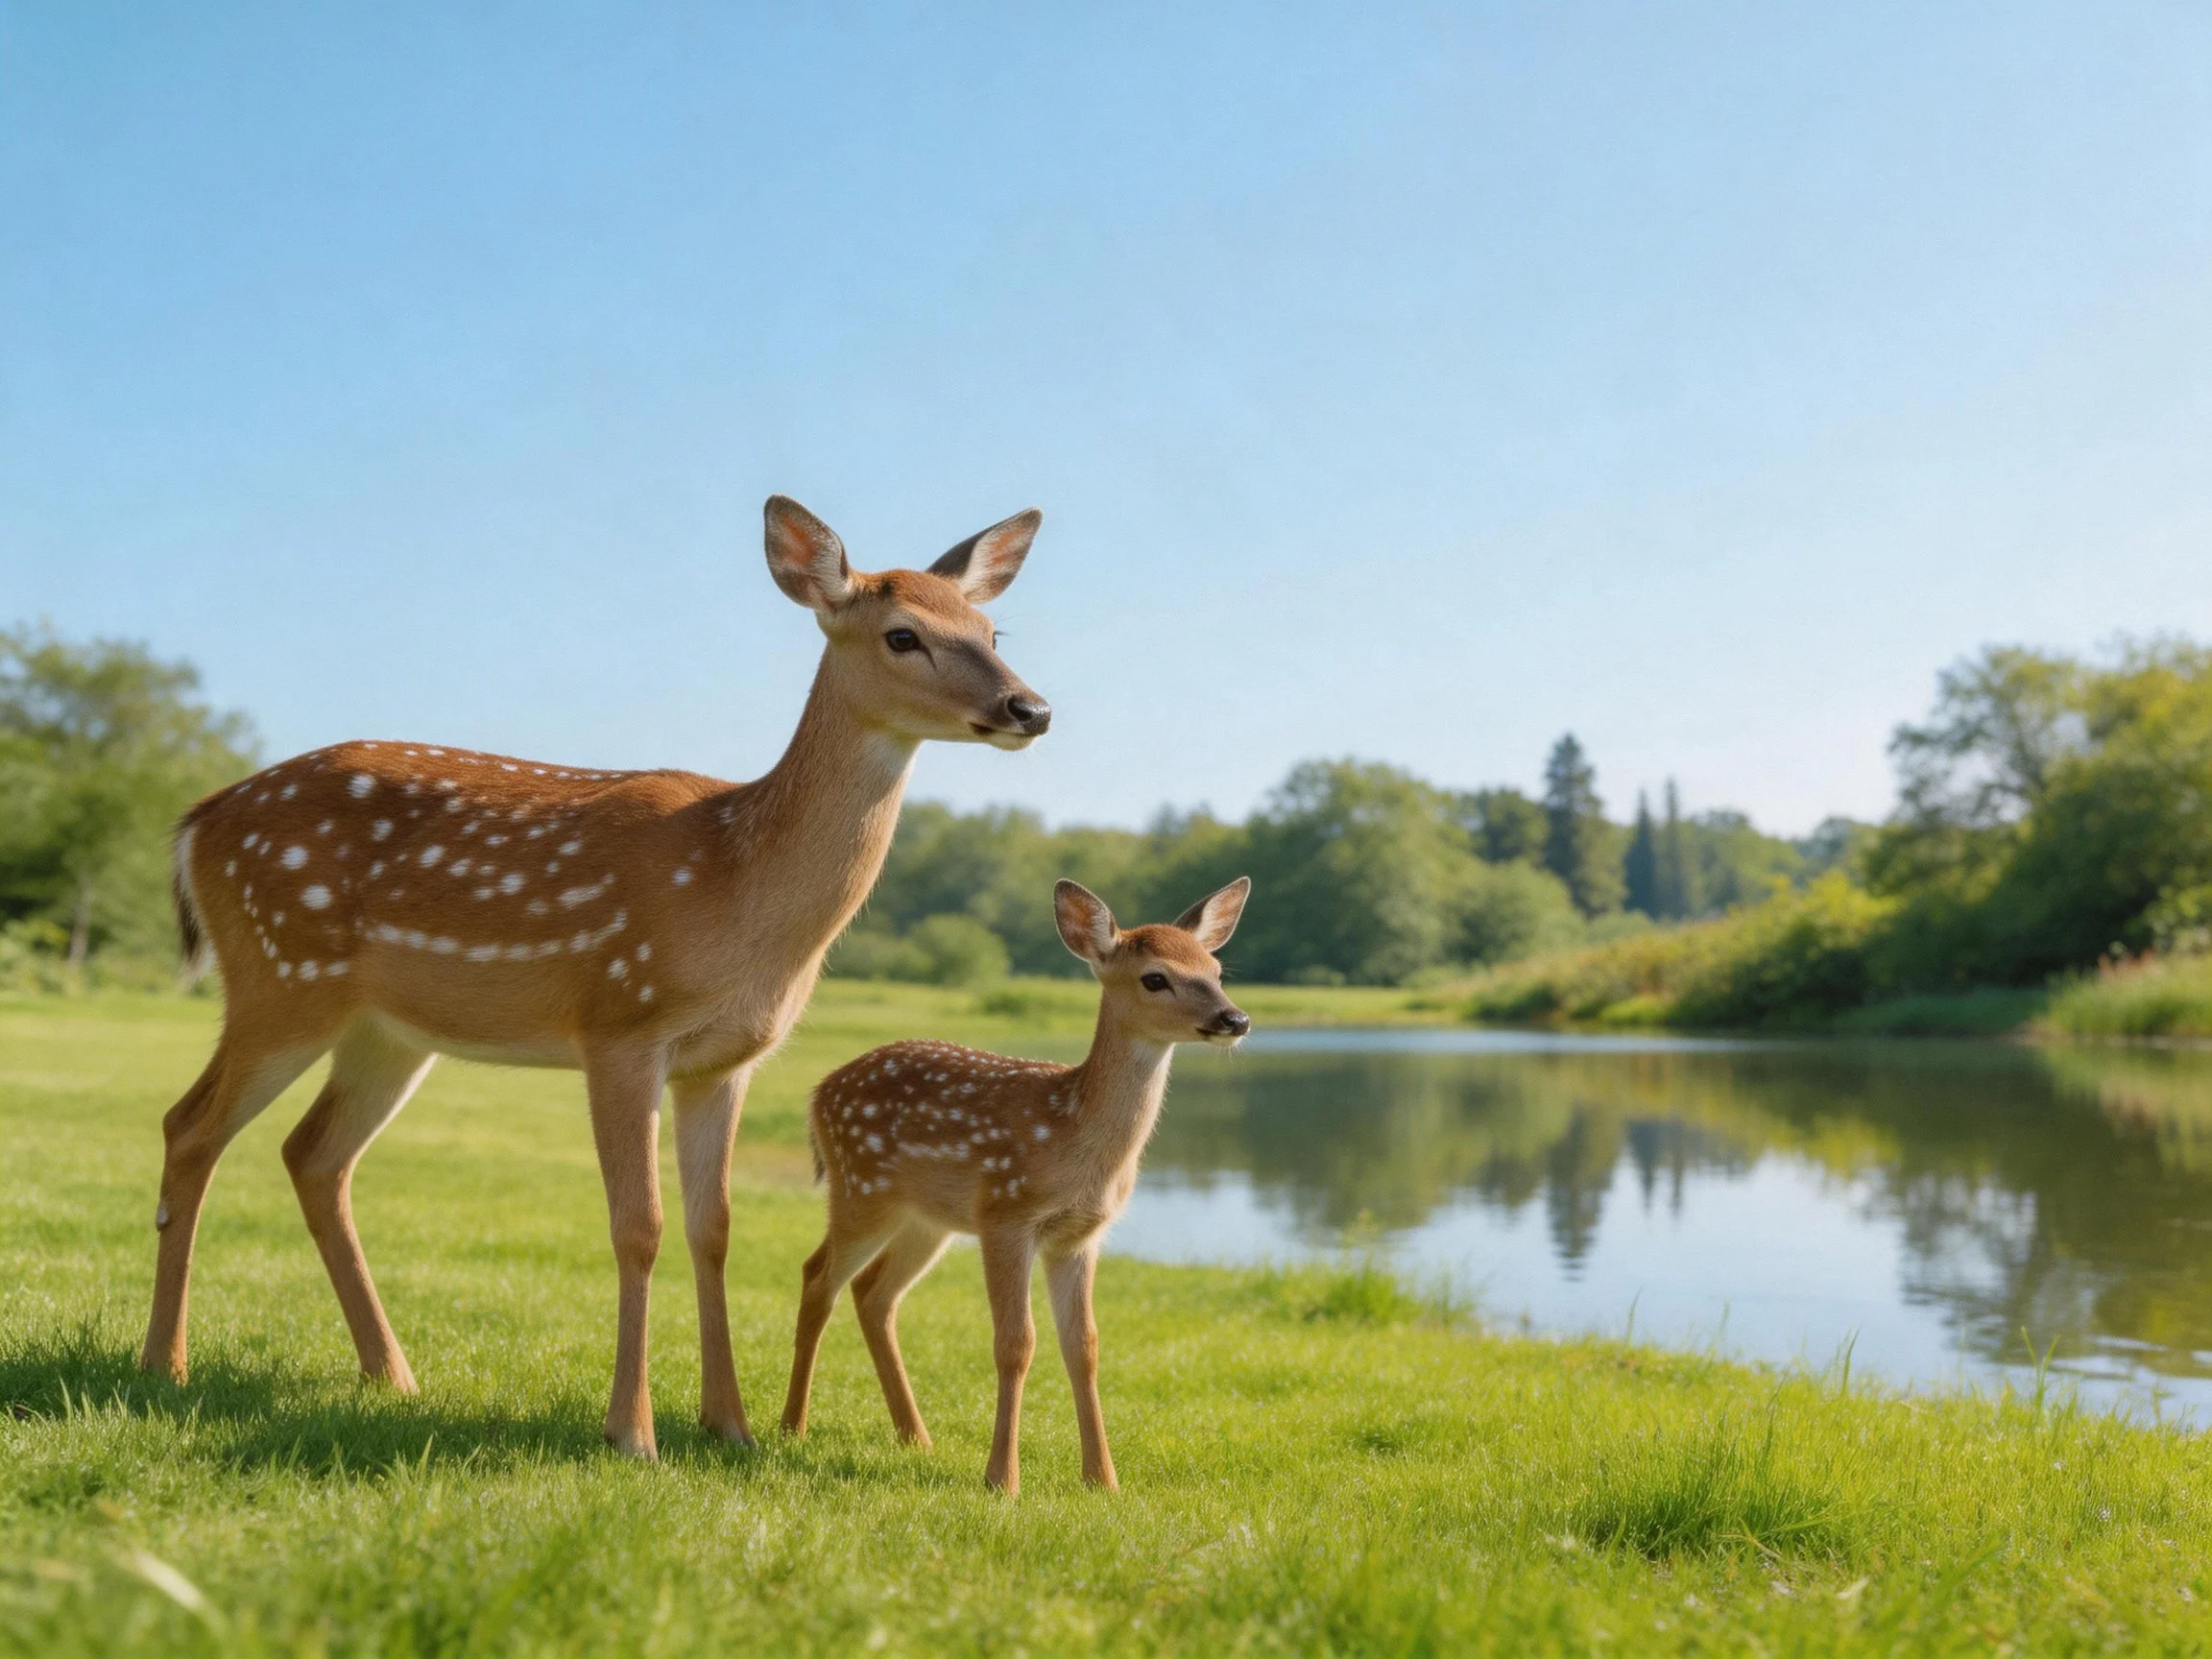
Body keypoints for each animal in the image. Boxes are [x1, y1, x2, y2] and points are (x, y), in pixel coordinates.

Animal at [141, 495, 1051, 1460]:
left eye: (991, 629)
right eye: (902, 635)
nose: (1029, 707)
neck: (737, 887)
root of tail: (196, 823)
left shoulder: (724, 1061)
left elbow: (713, 1229)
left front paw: (730, 1425)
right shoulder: (620, 1021)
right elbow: (637, 1225)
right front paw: (633, 1431)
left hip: (385, 1030)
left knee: (312, 1154)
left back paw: (390, 1373)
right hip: (281, 975)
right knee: (191, 1127)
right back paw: (165, 1363)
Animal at [781, 875, 1252, 1495]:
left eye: (1217, 970)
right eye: (1156, 977)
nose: (1235, 1020)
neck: (1071, 1134)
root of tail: (816, 1095)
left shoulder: (1079, 1235)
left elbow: (1085, 1346)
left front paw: (1102, 1479)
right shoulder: (1006, 1214)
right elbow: (1015, 1343)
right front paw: (1002, 1479)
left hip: (926, 1220)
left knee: (874, 1294)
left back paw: (916, 1437)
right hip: (862, 1189)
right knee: (818, 1277)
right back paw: (791, 1426)